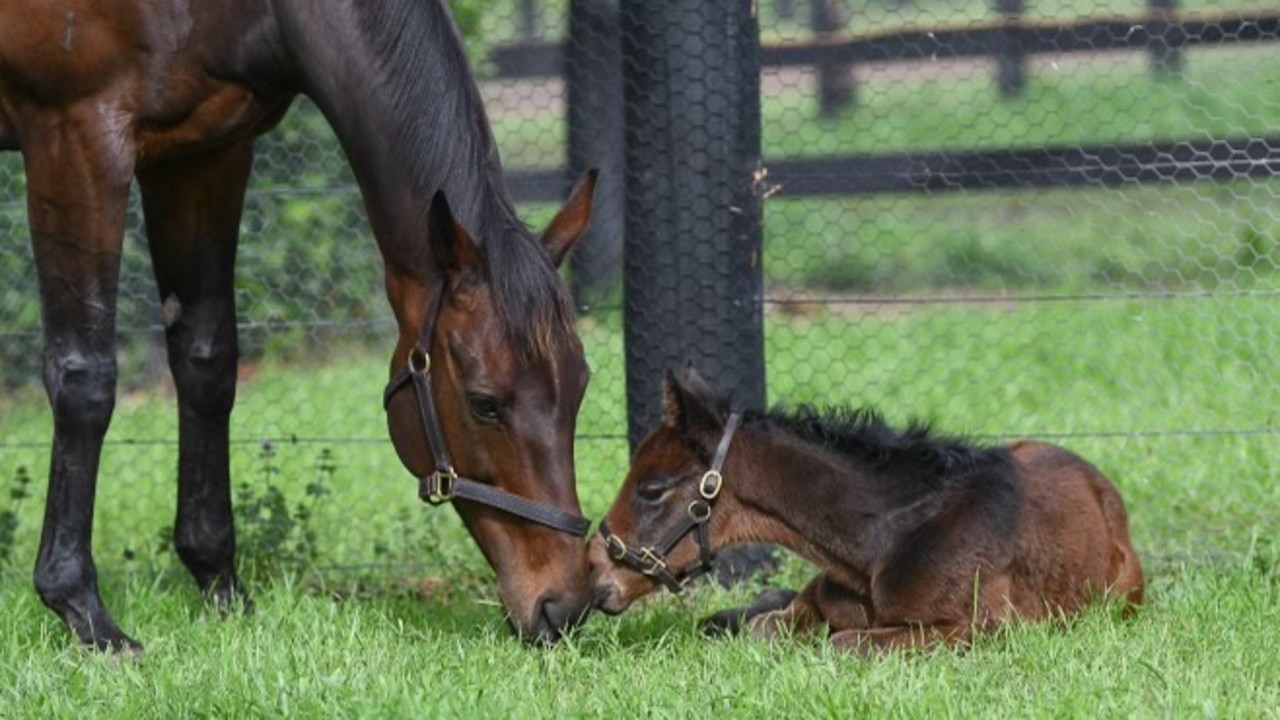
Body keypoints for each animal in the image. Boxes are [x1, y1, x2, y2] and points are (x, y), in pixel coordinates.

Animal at [586, 366, 1146, 653]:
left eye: (652, 490)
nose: (593, 574)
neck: (889, 539)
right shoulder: (807, 605)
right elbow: (766, 625)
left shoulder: (974, 630)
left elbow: (843, 643)